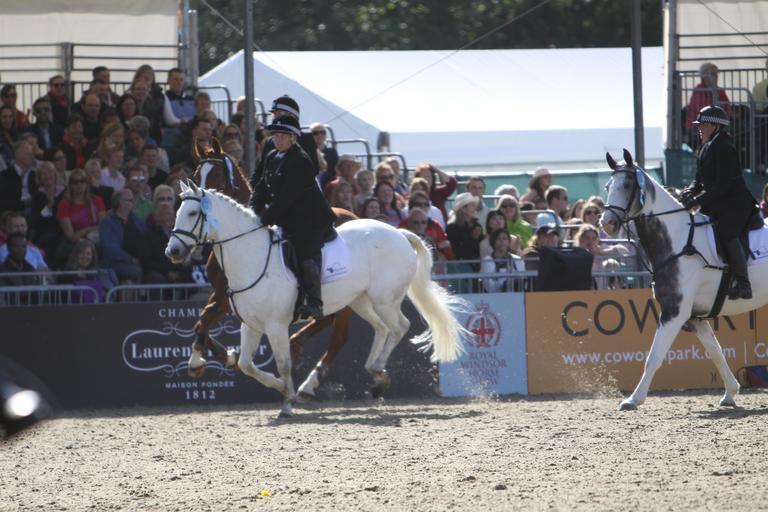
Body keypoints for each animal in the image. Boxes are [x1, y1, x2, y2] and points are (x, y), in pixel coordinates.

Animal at [166, 181, 467, 417]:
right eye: (177, 212)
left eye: (192, 213)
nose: (173, 251)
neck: (251, 256)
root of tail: (398, 233)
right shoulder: (250, 324)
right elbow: (246, 364)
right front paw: (278, 386)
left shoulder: (275, 325)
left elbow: (283, 363)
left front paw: (287, 400)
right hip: (360, 301)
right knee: (380, 328)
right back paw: (375, 375)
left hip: (383, 299)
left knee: (398, 327)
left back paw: (368, 371)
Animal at [601, 149, 768, 410]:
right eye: (608, 186)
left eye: (627, 185)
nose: (607, 223)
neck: (678, 241)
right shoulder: (694, 317)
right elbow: (716, 352)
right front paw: (731, 393)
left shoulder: (674, 312)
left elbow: (654, 357)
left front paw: (633, 399)